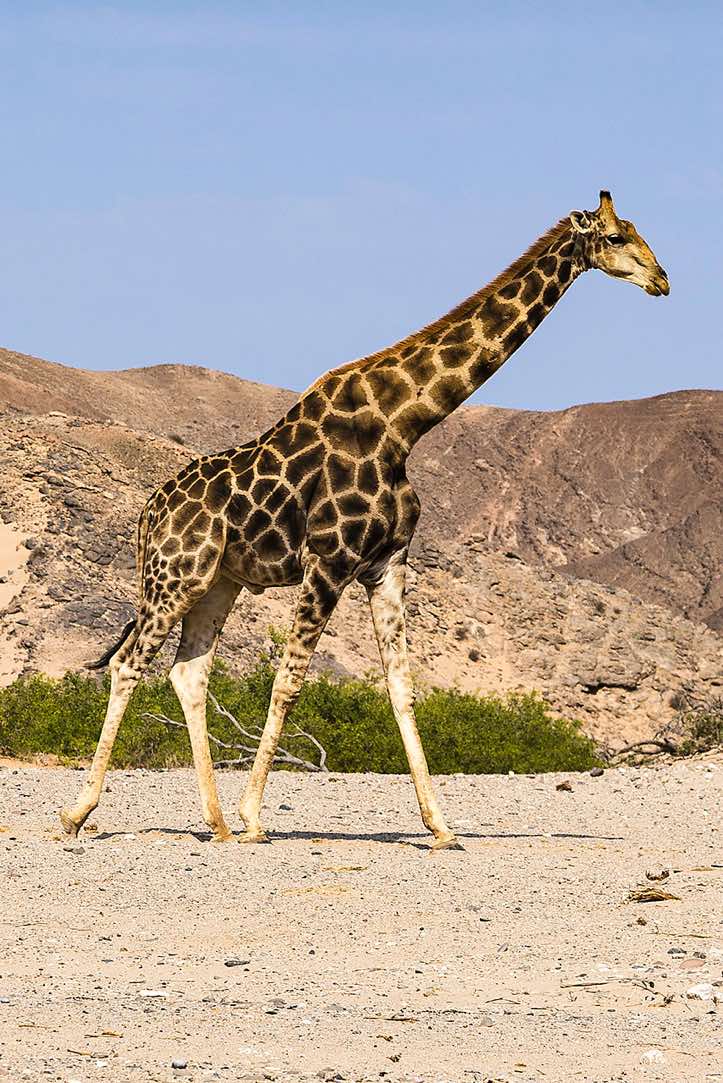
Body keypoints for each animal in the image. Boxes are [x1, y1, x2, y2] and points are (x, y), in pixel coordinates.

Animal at [60, 190, 669, 850]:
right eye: (615, 237)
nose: (661, 279)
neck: (404, 424)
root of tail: (148, 513)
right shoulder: (328, 562)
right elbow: (289, 681)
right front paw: (255, 817)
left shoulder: (386, 564)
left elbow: (402, 686)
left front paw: (440, 826)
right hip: (175, 577)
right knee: (127, 665)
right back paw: (80, 813)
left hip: (217, 583)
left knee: (188, 674)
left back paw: (214, 823)